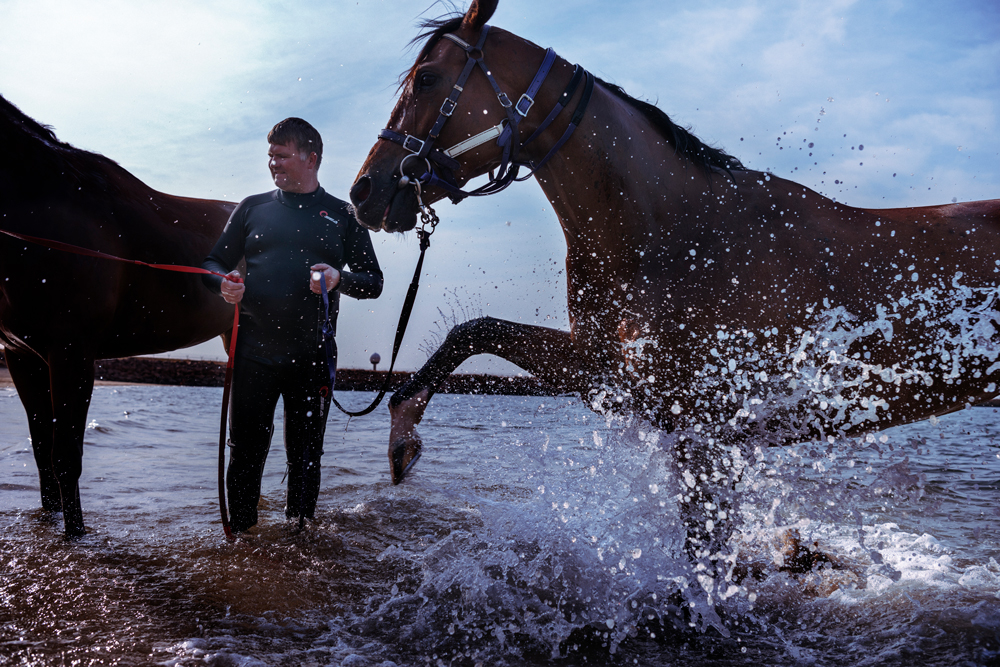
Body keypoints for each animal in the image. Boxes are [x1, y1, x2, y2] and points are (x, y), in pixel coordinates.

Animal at [352, 2, 1000, 556]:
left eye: (427, 79)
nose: (365, 192)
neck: (676, 233)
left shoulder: (701, 431)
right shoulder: (607, 372)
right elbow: (473, 330)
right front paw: (402, 438)